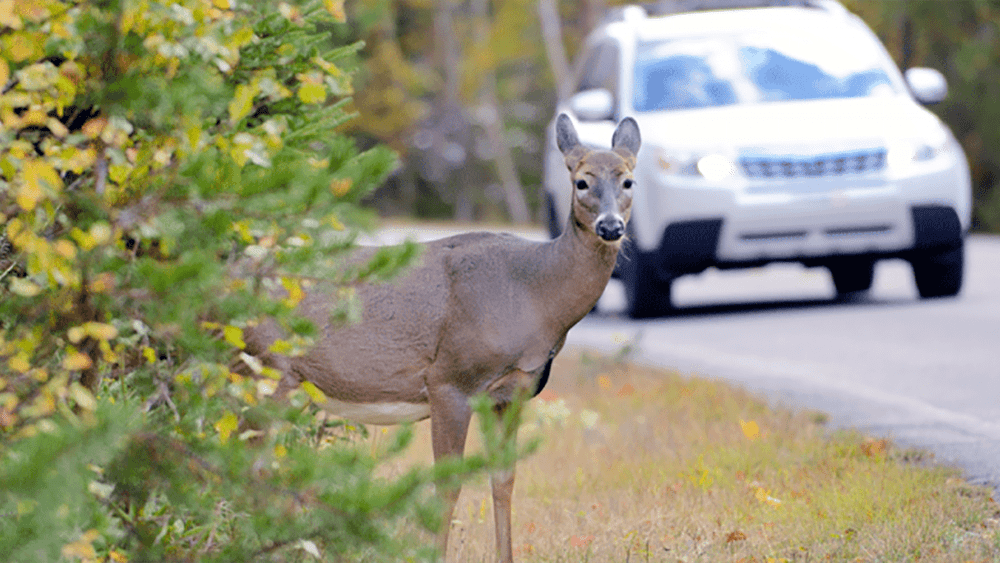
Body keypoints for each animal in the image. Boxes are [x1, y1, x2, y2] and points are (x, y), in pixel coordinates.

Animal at [238, 112, 636, 560]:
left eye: (628, 181)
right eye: (581, 181)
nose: (610, 226)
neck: (533, 293)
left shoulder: (511, 392)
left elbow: (504, 479)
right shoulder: (450, 379)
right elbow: (448, 485)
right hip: (265, 366)